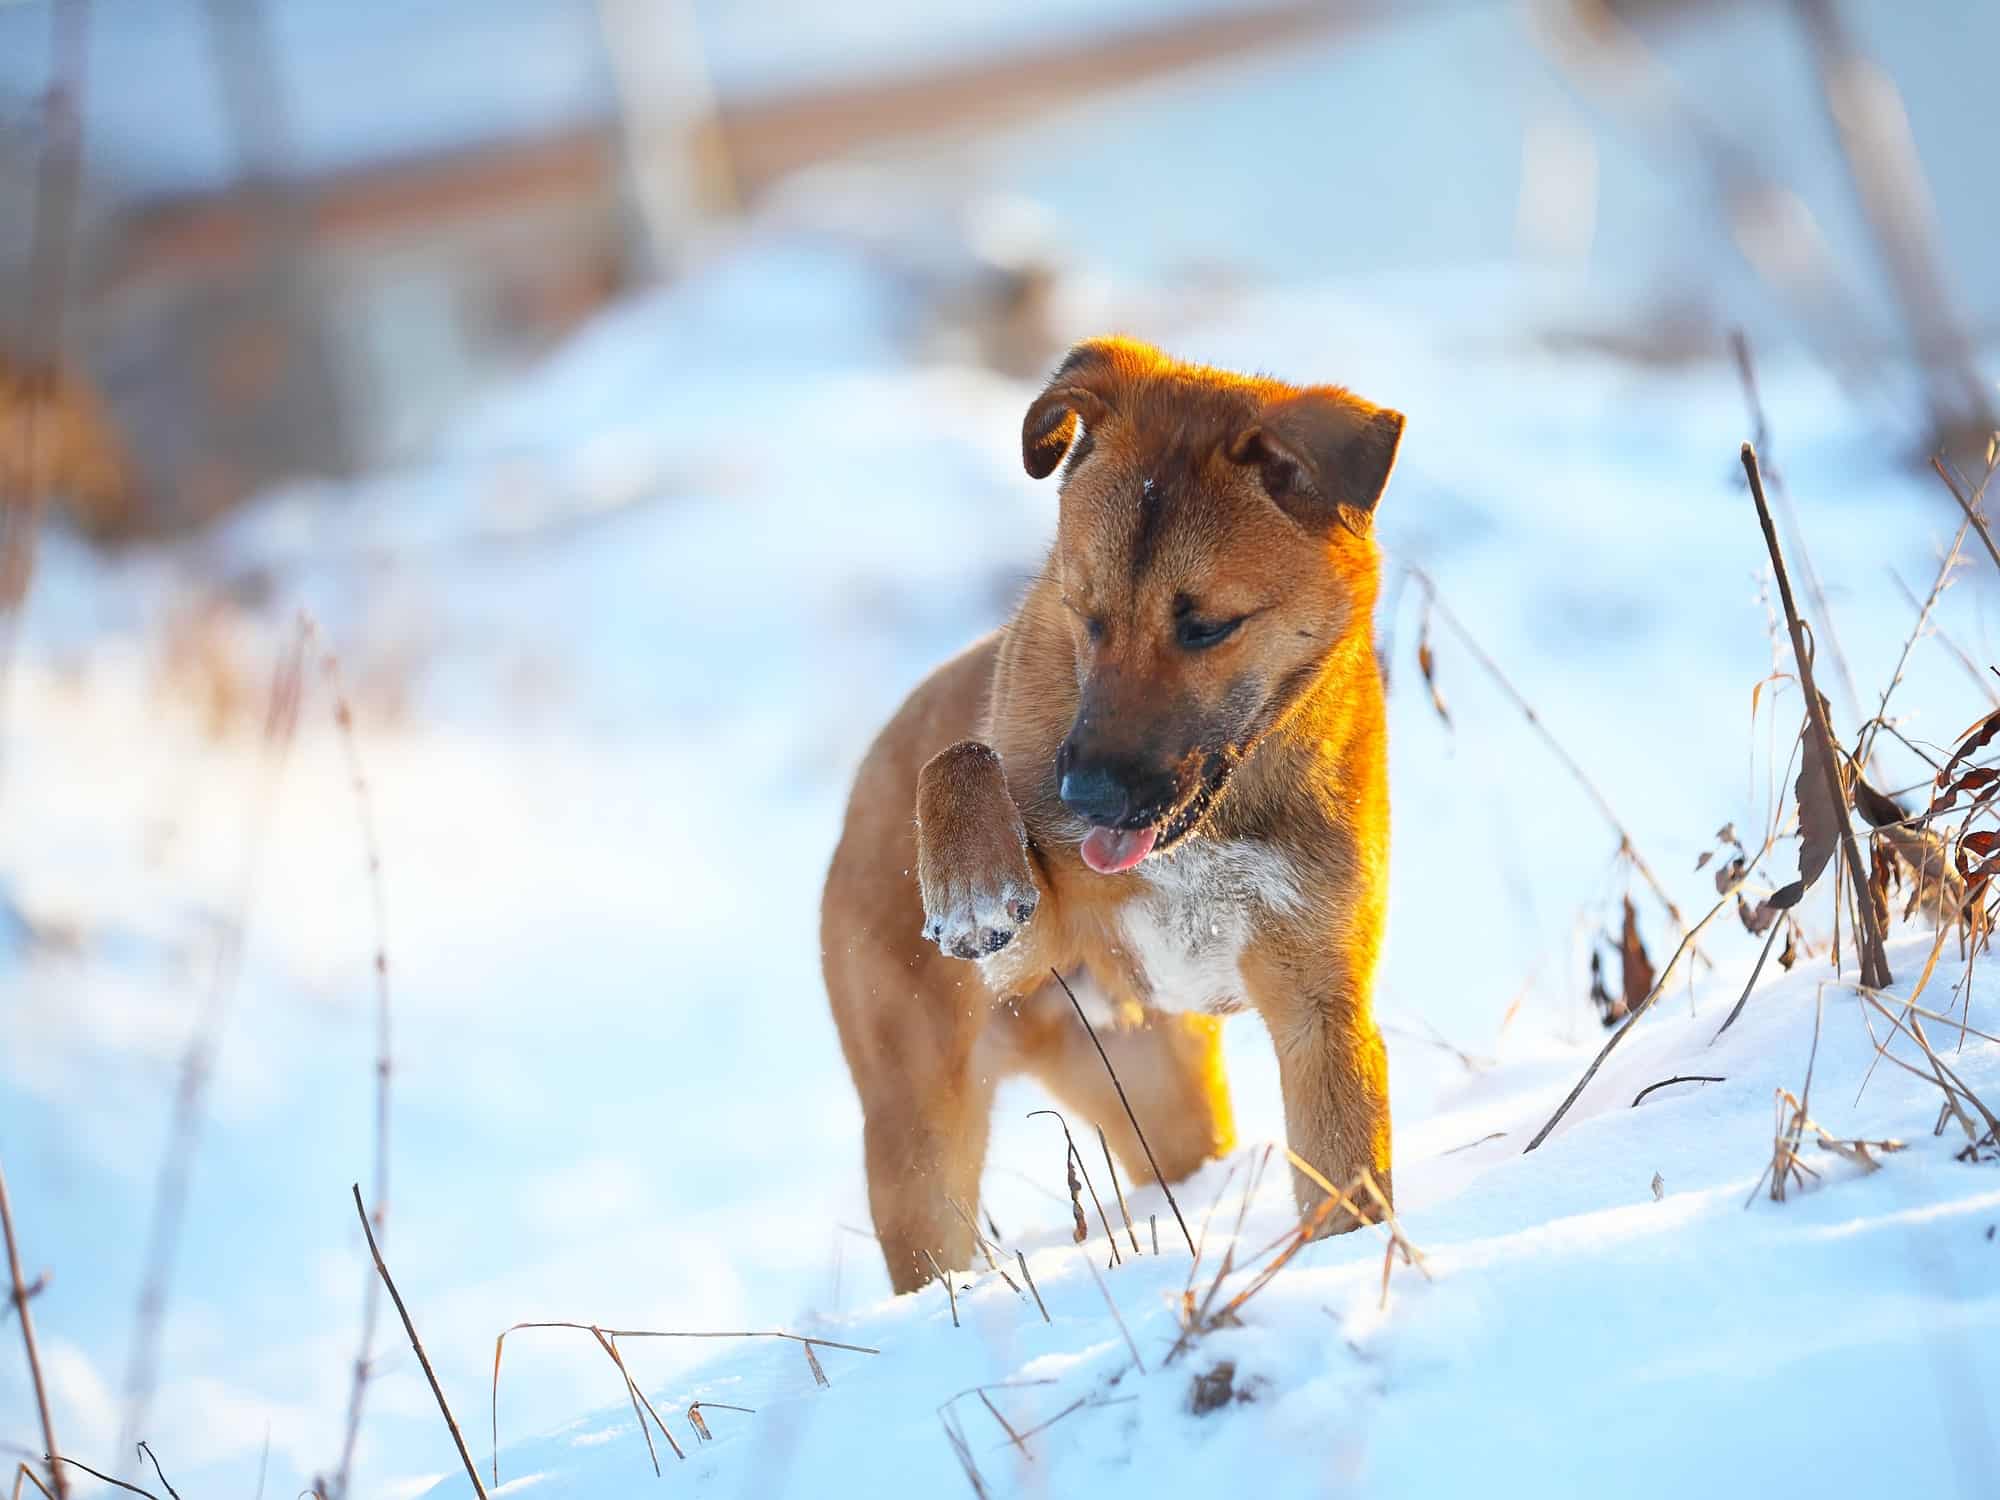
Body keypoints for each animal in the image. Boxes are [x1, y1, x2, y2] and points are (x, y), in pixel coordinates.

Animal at [820, 338, 1400, 1296]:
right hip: (921, 1139)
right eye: (1085, 614)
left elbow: (1345, 1175)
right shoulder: (1032, 947)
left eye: (1205, 627)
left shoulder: (1319, 1005)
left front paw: (1346, 1263)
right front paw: (973, 889)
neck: (1210, 832)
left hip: (1162, 1095)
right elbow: (963, 756)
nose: (1084, 796)